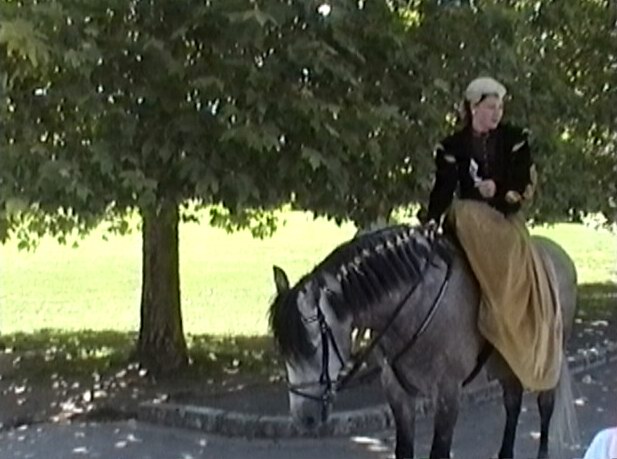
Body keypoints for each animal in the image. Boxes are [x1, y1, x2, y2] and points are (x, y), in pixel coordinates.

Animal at [266, 226, 576, 459]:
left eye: (313, 345)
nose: (303, 419)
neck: (417, 305)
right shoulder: (398, 393)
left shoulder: (448, 395)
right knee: (512, 403)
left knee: (545, 405)